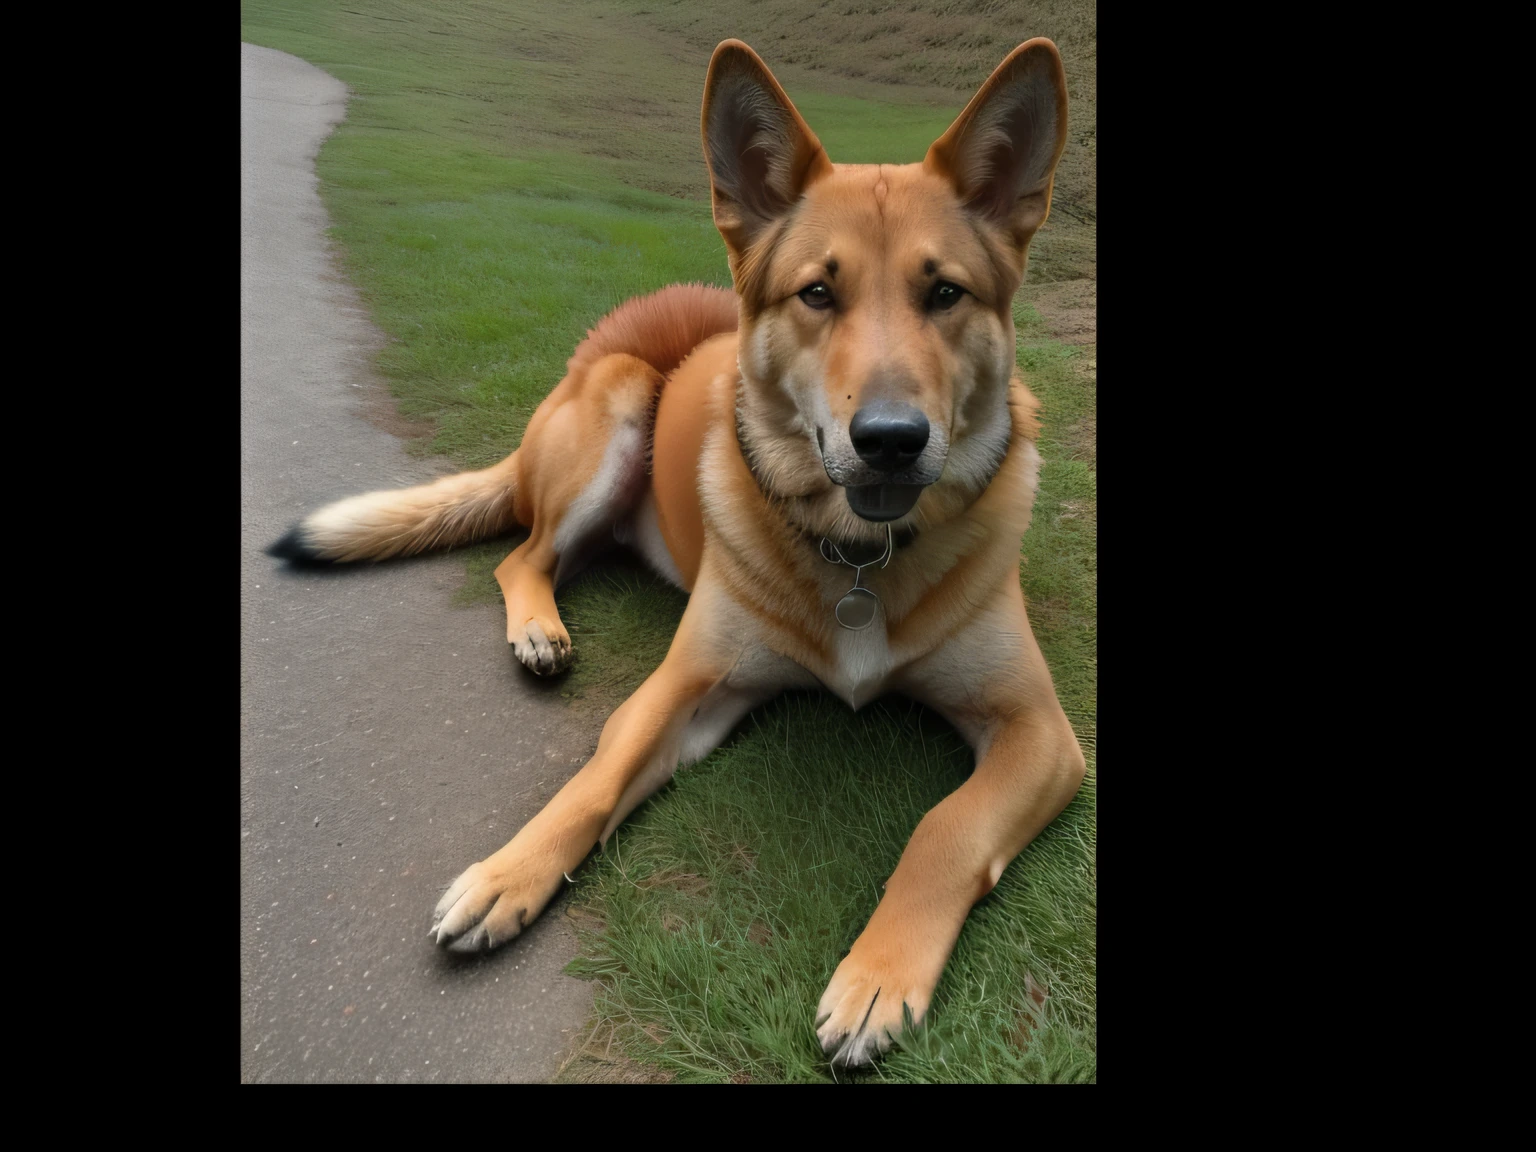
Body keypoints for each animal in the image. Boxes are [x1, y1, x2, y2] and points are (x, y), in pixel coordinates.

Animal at [273, 38, 1093, 1075]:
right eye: (817, 293)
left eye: (945, 293)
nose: (891, 441)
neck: (858, 562)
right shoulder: (687, 687)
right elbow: (596, 780)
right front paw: (509, 873)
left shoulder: (1040, 733)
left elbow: (946, 826)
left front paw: (879, 975)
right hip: (617, 410)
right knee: (524, 556)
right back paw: (538, 629)